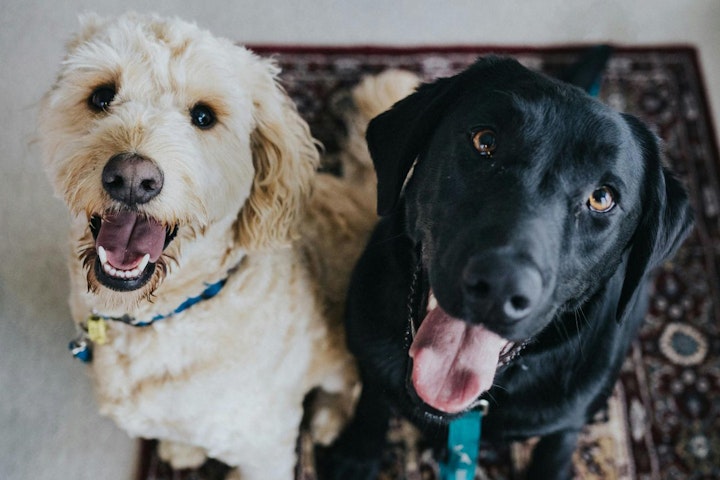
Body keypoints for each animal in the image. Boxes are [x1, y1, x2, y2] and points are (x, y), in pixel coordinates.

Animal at [39, 12, 420, 480]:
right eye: (102, 96)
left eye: (204, 116)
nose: (131, 177)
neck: (170, 313)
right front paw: (181, 448)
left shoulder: (264, 445)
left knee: (351, 383)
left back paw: (329, 418)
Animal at [324, 57, 692, 480]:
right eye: (485, 141)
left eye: (602, 198)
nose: (499, 287)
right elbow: (372, 401)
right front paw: (356, 454)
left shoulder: (568, 417)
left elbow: (556, 449)